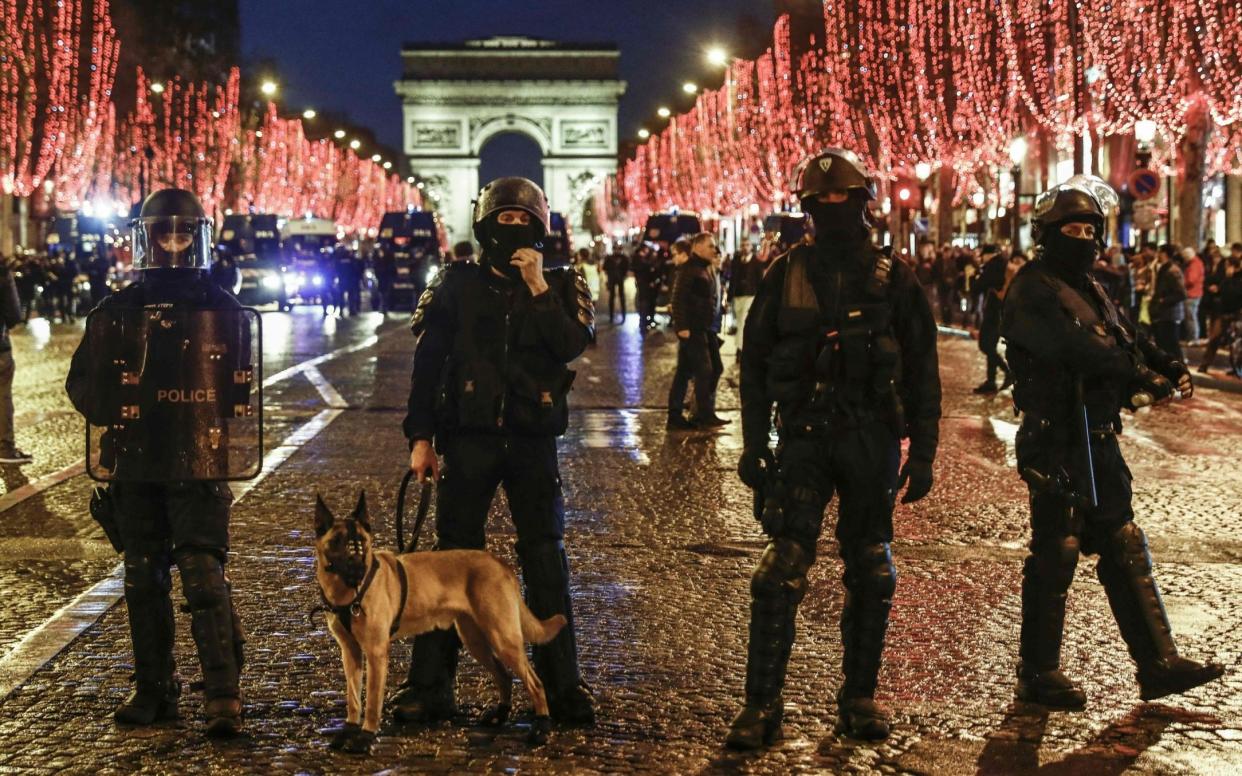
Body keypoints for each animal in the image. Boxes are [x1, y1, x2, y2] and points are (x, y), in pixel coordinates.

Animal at [312, 489, 566, 749]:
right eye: (337, 541)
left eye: (362, 541)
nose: (357, 567)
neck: (347, 592)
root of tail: (500, 563)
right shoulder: (350, 652)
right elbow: (353, 698)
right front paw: (349, 730)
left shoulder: (376, 653)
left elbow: (372, 701)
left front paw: (365, 736)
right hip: (477, 641)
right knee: (504, 675)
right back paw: (500, 715)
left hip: (503, 639)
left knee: (535, 683)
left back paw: (541, 728)